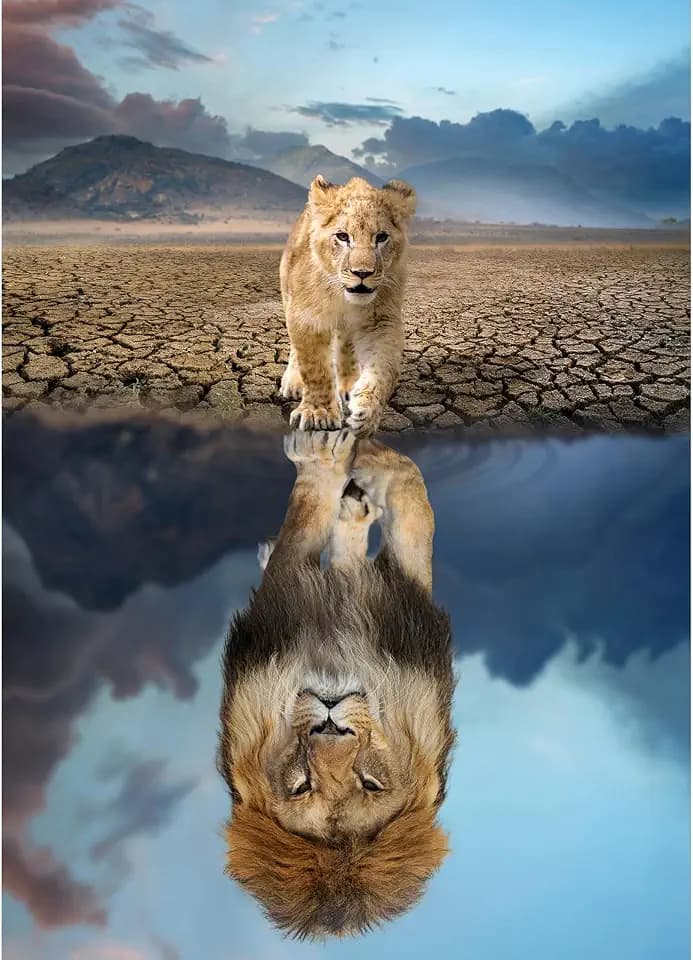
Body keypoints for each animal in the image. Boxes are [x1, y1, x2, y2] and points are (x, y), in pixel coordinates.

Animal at [218, 430, 455, 939]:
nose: (330, 723)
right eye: (302, 786)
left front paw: (344, 461)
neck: (336, 659)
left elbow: (411, 508)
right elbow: (407, 504)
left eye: (370, 783)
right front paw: (343, 460)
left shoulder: (404, 613)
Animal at [279, 175, 417, 436]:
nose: (362, 273)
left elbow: (384, 369)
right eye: (342, 237)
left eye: (381, 237)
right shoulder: (306, 318)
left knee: (347, 345)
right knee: (295, 349)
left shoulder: (381, 321)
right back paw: (292, 382)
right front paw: (318, 413)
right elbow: (315, 368)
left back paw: (349, 385)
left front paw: (366, 412)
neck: (343, 298)